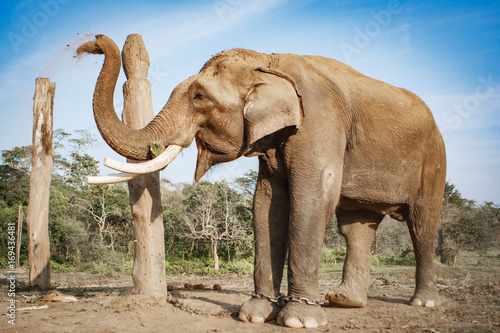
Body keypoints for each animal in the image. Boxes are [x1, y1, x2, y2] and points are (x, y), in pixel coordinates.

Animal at [77, 35, 446, 326]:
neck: (269, 61)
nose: (87, 45)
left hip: (434, 159)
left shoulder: (319, 119)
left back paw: (423, 302)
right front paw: (254, 315)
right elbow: (267, 203)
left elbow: (312, 197)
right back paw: (345, 301)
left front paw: (300, 321)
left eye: (199, 97)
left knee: (421, 224)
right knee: (356, 227)